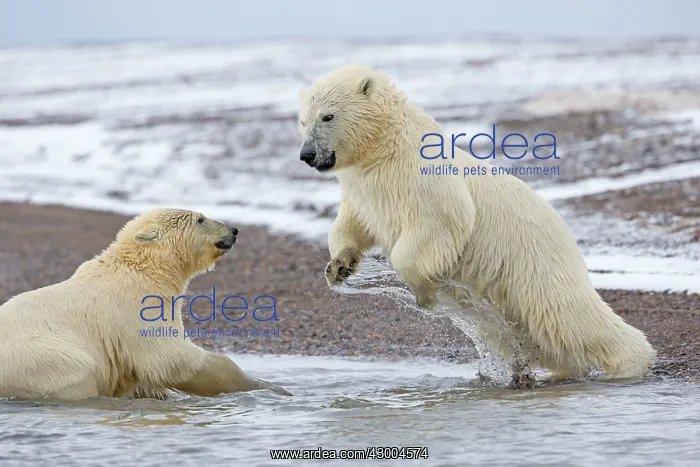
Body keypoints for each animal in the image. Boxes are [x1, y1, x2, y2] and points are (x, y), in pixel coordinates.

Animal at [0, 208, 290, 400]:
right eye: (200, 218)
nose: (234, 230)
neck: (145, 270)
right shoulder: (138, 306)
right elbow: (171, 358)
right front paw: (269, 387)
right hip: (45, 361)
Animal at [297, 64, 656, 381]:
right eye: (302, 121)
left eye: (328, 116)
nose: (307, 155)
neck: (386, 148)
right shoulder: (366, 191)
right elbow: (352, 224)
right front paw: (339, 266)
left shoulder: (421, 177)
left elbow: (442, 221)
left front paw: (425, 293)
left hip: (535, 264)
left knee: (568, 316)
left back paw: (632, 363)